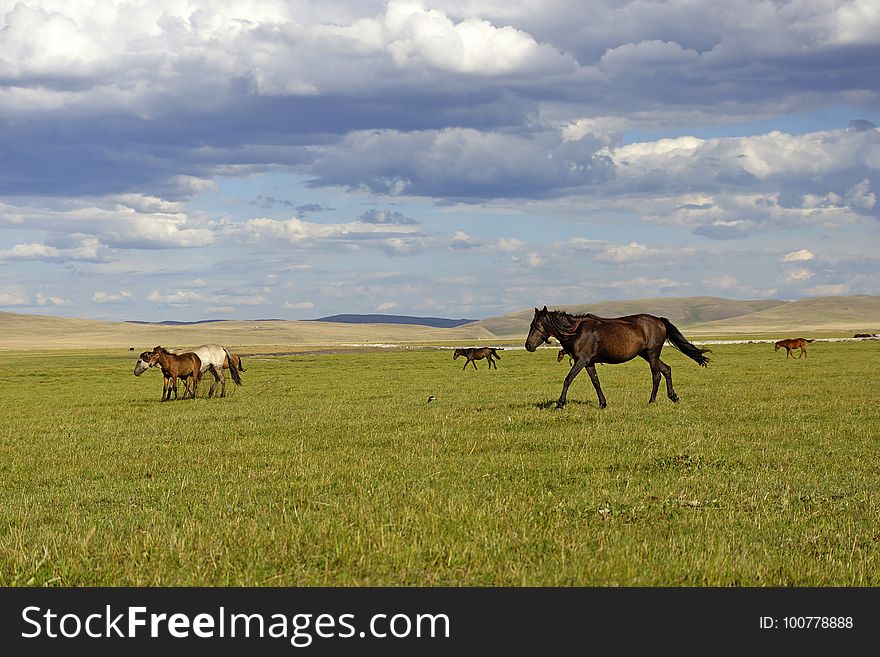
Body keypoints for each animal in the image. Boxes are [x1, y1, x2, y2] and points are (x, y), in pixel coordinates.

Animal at [524, 304, 712, 408]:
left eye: (538, 325)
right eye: (531, 324)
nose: (528, 345)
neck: (576, 331)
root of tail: (659, 320)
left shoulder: (581, 361)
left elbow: (568, 380)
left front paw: (560, 404)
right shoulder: (588, 363)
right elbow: (596, 383)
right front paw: (602, 403)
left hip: (652, 354)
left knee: (657, 375)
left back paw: (651, 401)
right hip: (646, 354)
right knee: (666, 369)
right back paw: (673, 397)